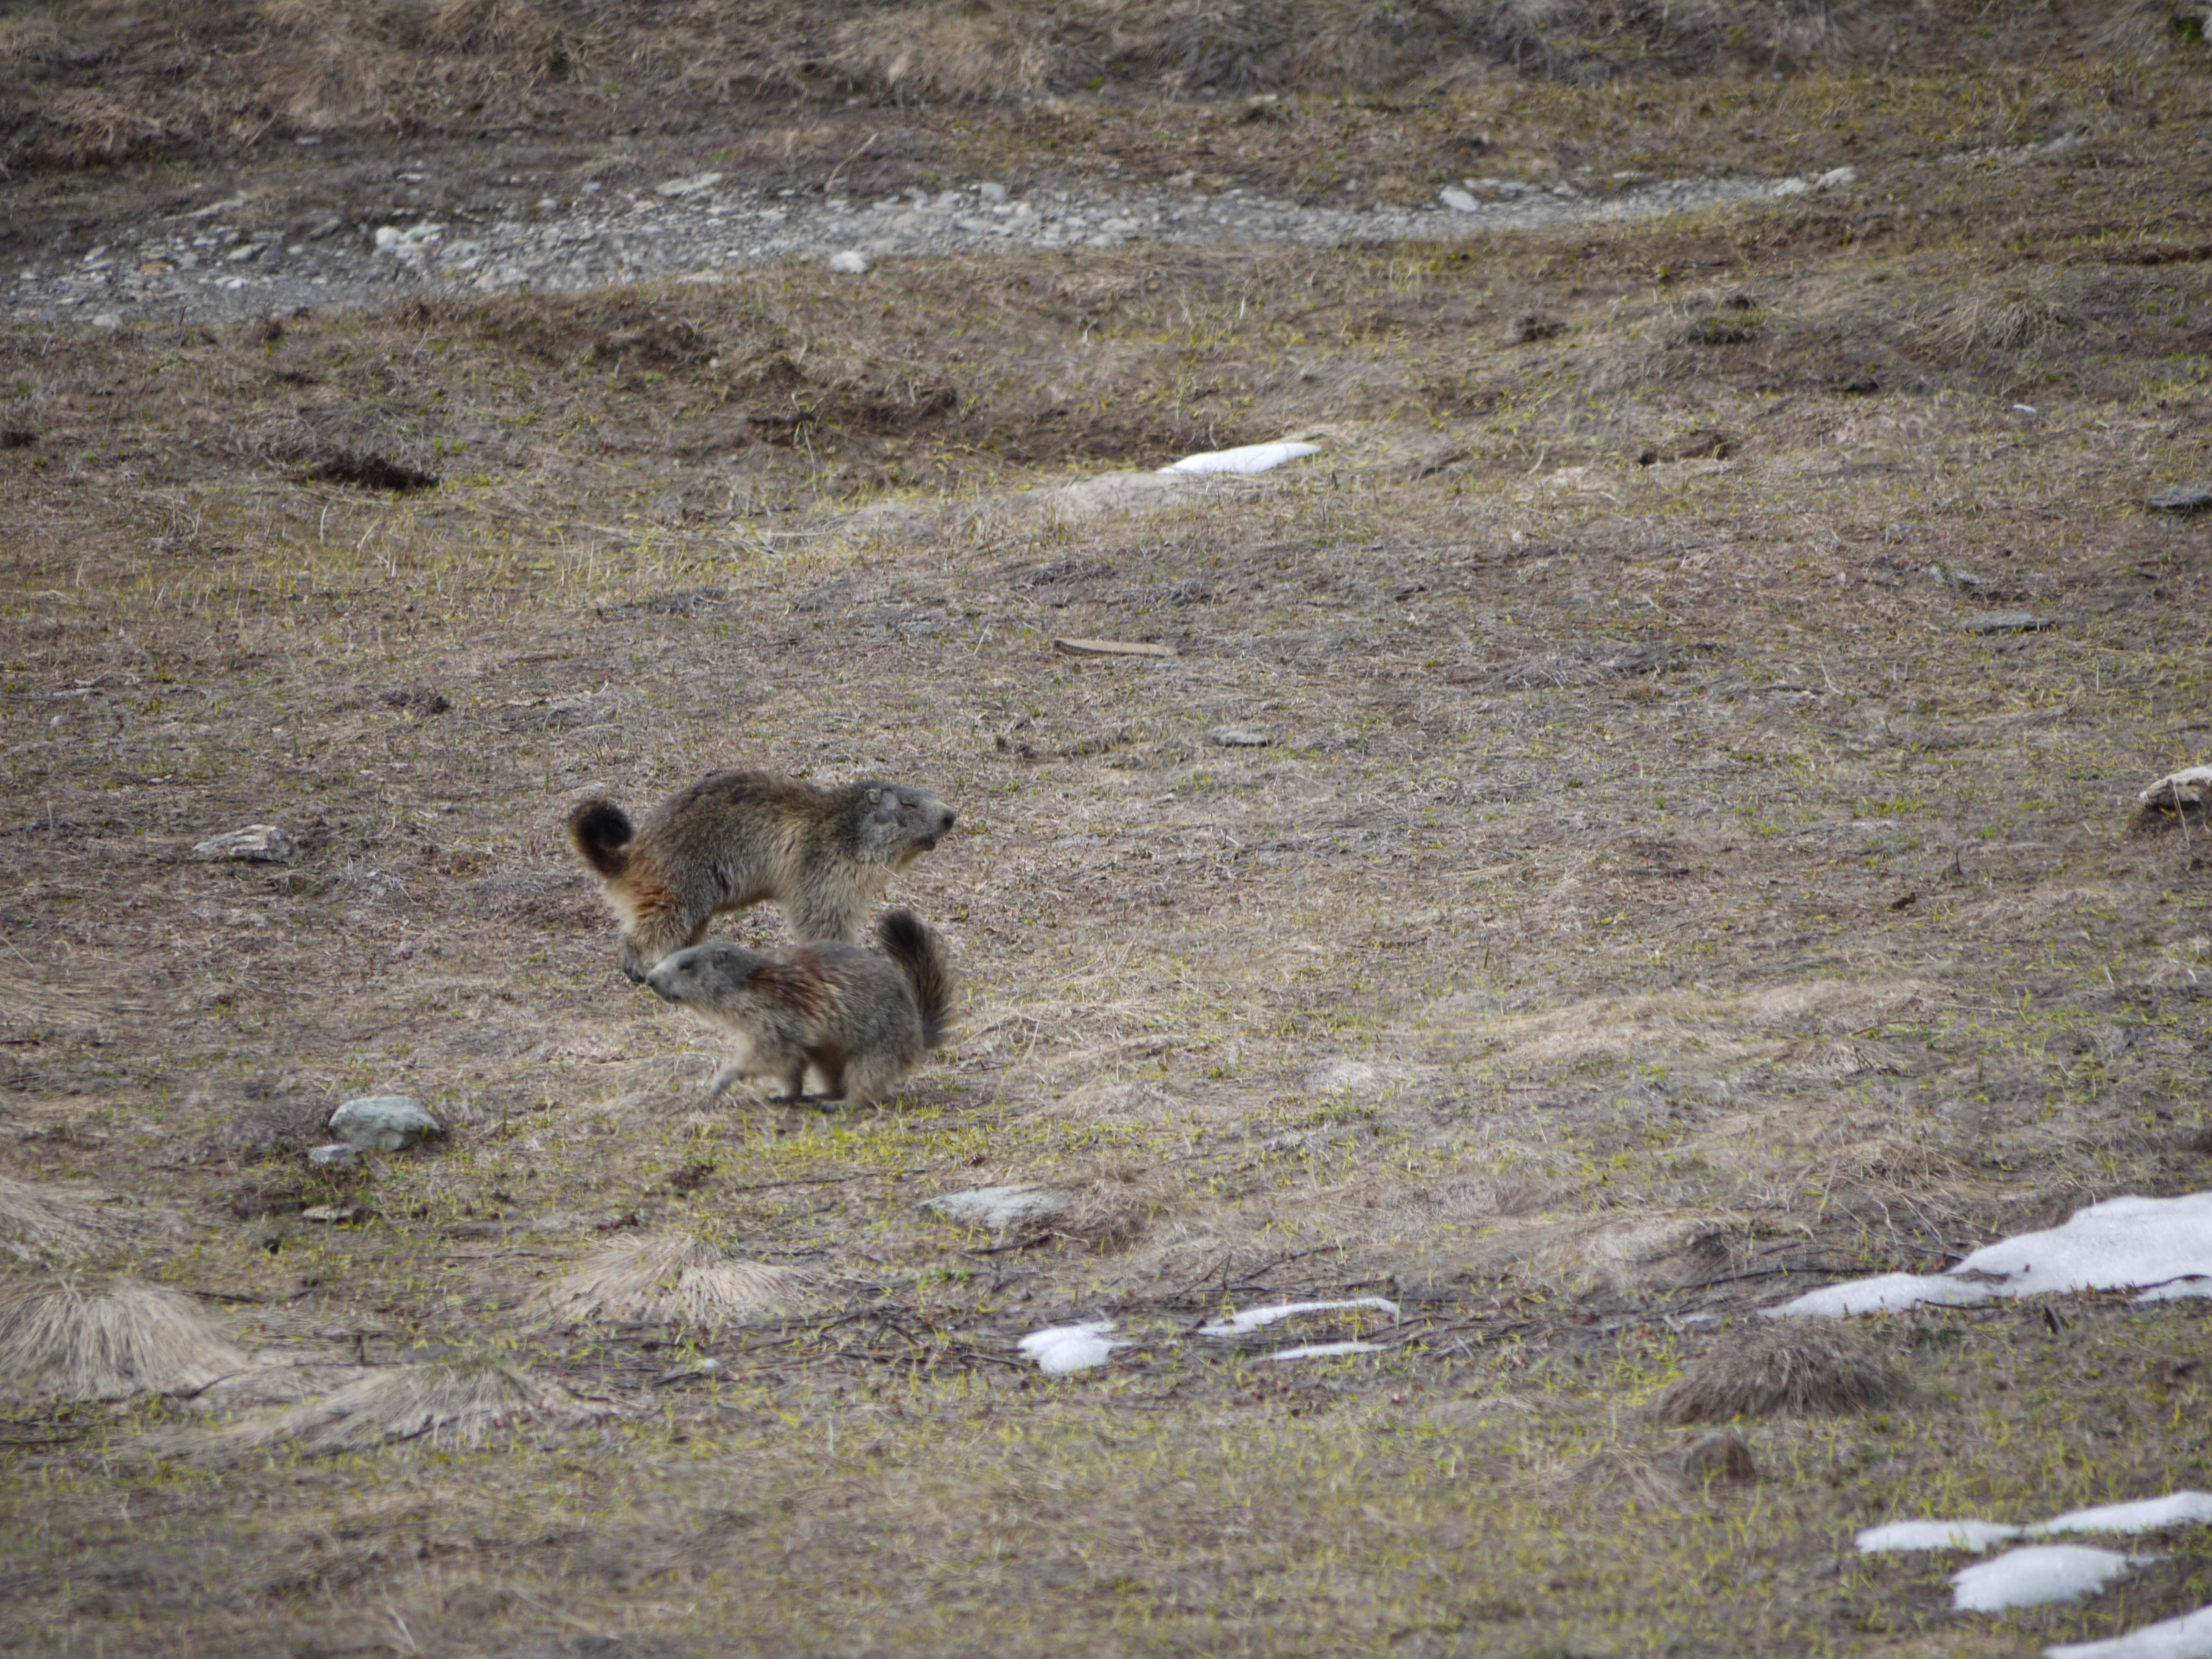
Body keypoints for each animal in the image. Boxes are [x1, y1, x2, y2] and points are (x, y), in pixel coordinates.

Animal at [567, 770, 955, 981]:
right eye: (909, 804)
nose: (951, 815)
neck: (847, 828)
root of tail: (634, 852)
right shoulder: (825, 867)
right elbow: (822, 914)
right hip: (675, 886)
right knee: (655, 922)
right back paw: (635, 960)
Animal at [645, 909, 952, 1107]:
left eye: (686, 965)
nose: (648, 979)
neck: (746, 984)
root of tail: (918, 1033)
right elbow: (790, 1064)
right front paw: (784, 1094)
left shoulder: (772, 1017)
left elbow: (770, 1052)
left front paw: (722, 1079)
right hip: (829, 1056)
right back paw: (824, 1095)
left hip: (879, 1045)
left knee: (867, 1080)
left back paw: (842, 1103)